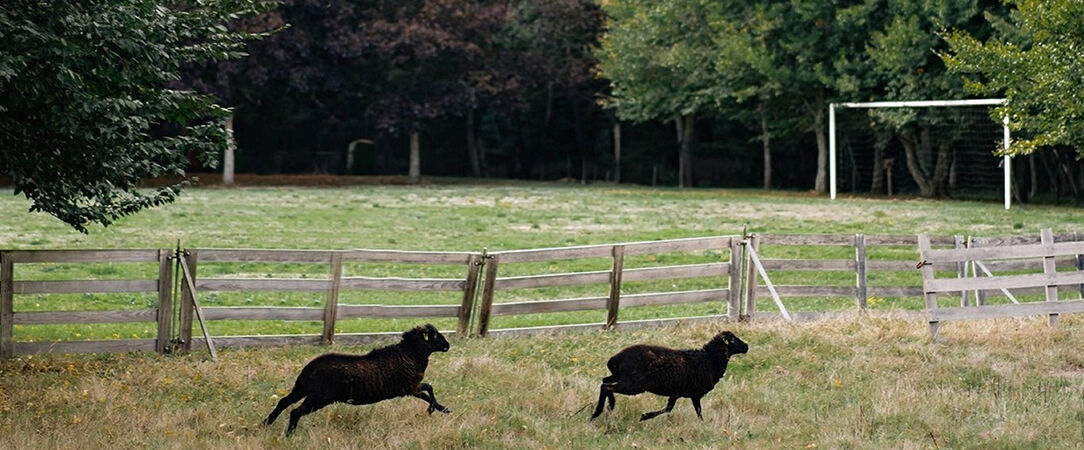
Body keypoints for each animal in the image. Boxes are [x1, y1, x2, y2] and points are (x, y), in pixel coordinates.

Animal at [266, 325, 453, 438]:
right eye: (435, 336)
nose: (448, 345)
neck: (411, 354)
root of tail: (310, 368)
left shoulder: (408, 389)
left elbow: (427, 394)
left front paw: (444, 410)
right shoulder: (410, 386)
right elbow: (429, 388)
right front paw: (433, 410)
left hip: (302, 388)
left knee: (283, 402)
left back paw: (265, 424)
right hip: (319, 397)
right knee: (295, 411)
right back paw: (289, 435)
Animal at [589, 331, 750, 422]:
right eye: (733, 340)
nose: (746, 346)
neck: (710, 360)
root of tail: (617, 358)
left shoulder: (677, 392)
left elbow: (669, 408)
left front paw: (645, 416)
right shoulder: (694, 394)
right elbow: (695, 411)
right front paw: (644, 416)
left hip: (620, 377)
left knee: (604, 382)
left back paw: (607, 407)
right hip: (633, 384)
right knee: (606, 387)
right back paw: (599, 412)